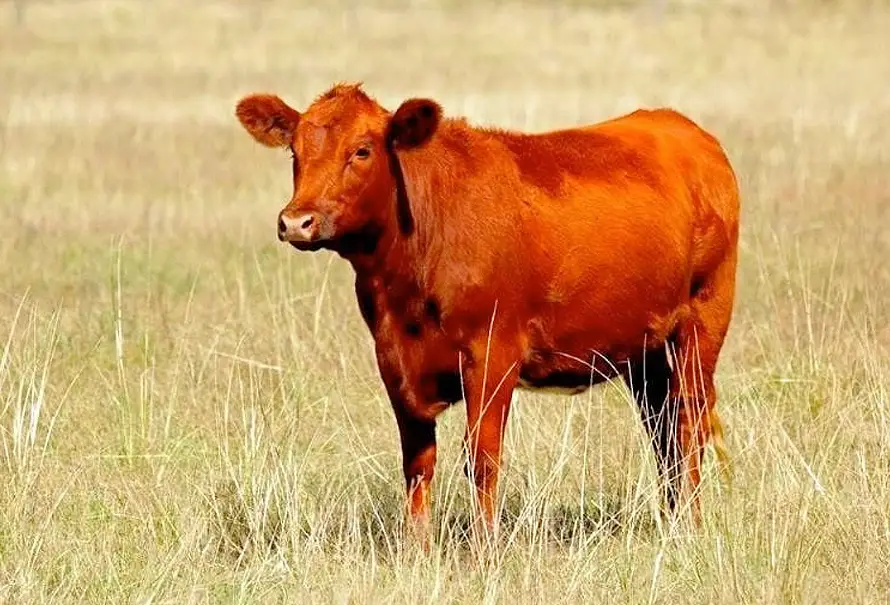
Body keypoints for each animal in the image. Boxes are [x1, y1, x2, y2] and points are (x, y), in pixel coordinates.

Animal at [234, 83, 739, 531]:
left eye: (361, 151)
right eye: (295, 151)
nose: (297, 221)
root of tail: (683, 129)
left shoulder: (494, 354)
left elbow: (482, 459)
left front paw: (484, 552)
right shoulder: (393, 360)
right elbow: (417, 464)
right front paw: (417, 549)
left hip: (702, 323)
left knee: (688, 421)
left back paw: (691, 525)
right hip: (643, 351)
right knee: (662, 431)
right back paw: (672, 520)